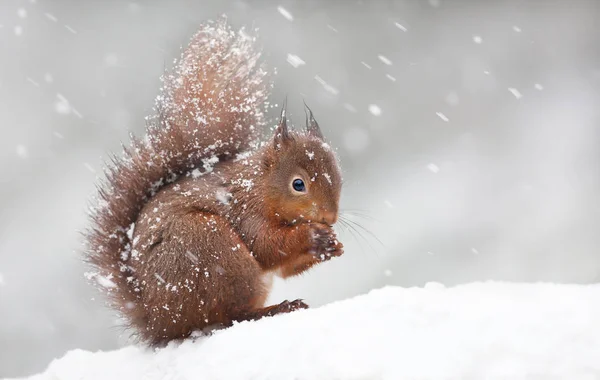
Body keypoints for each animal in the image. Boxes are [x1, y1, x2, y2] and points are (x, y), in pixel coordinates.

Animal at [86, 18, 344, 344]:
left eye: (340, 178)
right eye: (298, 184)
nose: (329, 217)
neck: (259, 186)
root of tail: (159, 323)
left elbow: (285, 268)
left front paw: (332, 244)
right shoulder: (245, 211)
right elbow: (266, 246)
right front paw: (313, 236)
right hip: (212, 250)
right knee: (230, 316)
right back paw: (278, 308)